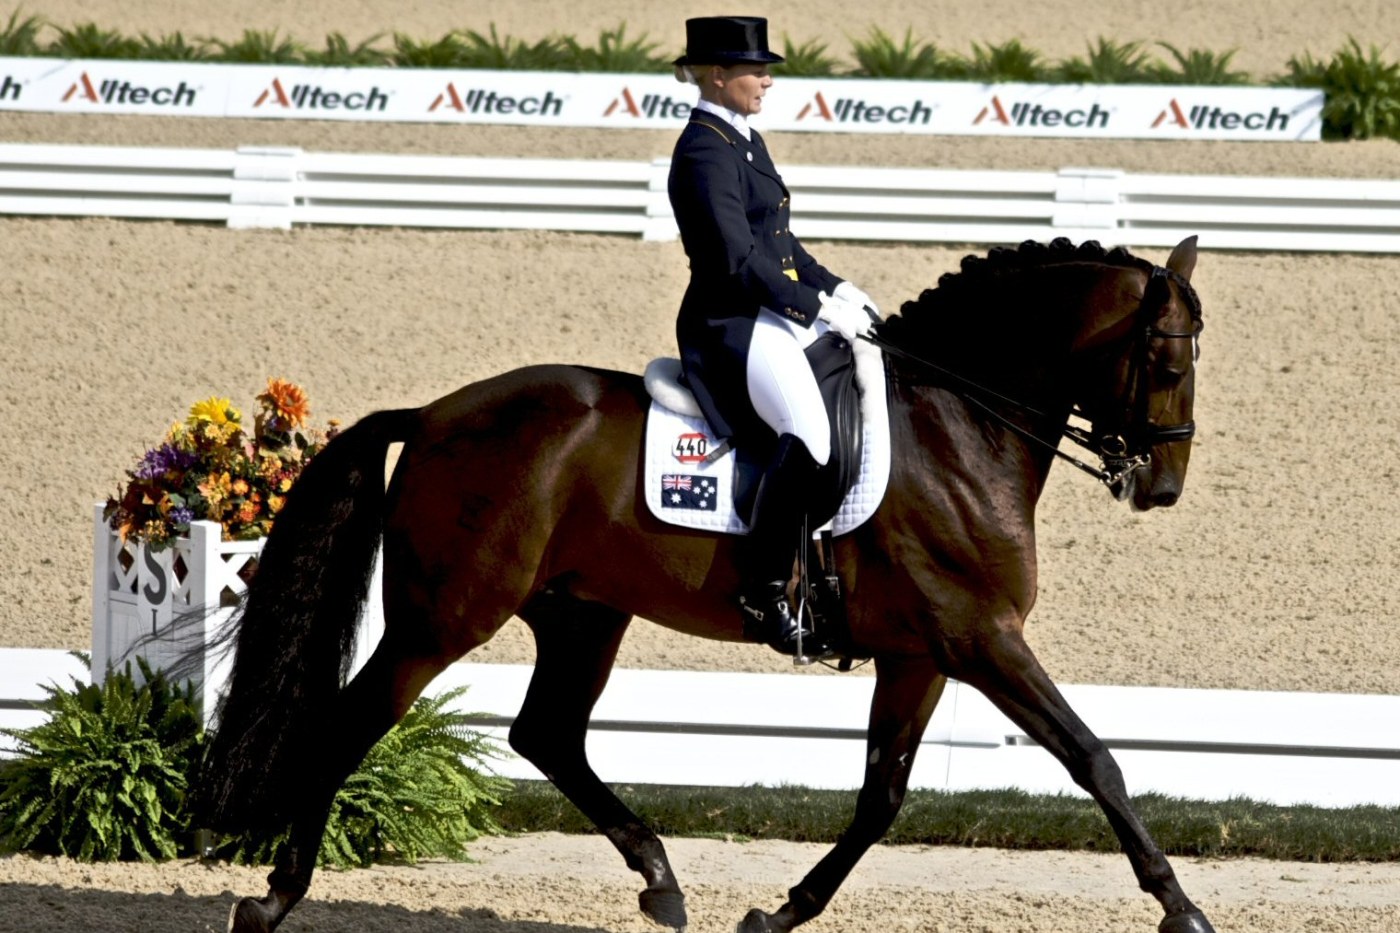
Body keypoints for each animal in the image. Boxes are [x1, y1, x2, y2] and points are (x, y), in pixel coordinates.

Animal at [191, 235, 1212, 933]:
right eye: (1166, 361)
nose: (1161, 488)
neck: (956, 421)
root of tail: (437, 414)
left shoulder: (921, 653)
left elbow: (881, 798)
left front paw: (779, 912)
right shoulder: (981, 637)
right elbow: (1094, 757)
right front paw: (1180, 906)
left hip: (582, 613)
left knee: (546, 733)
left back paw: (660, 878)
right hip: (443, 619)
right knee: (354, 722)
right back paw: (274, 898)